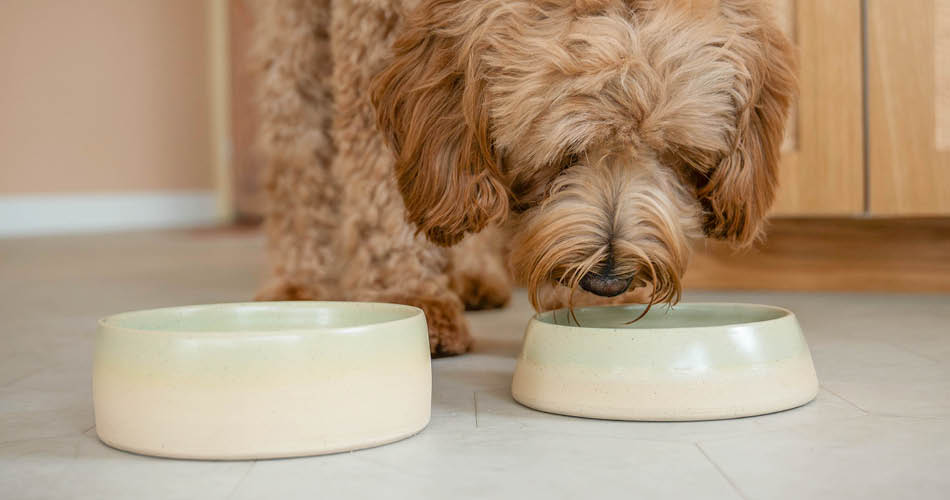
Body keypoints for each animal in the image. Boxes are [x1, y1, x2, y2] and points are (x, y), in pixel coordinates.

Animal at [253, 0, 796, 356]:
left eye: (672, 152)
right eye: (561, 156)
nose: (606, 280)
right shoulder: (372, 29)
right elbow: (377, 184)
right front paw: (408, 294)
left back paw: (475, 276)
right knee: (294, 147)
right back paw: (297, 285)